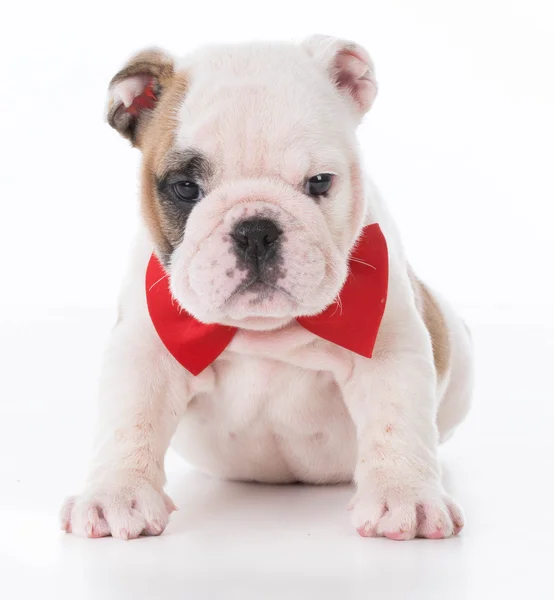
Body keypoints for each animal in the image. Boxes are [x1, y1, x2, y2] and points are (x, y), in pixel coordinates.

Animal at [60, 38, 470, 544]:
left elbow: (397, 420)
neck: (263, 330)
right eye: (185, 188)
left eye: (320, 182)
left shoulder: (389, 344)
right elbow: (129, 421)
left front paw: (405, 496)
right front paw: (115, 495)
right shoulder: (146, 349)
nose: (256, 230)